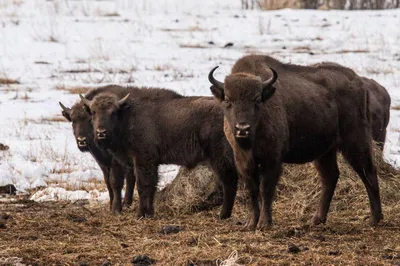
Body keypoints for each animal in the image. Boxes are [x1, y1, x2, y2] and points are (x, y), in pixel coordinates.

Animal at [79, 90, 239, 219]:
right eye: (93, 112)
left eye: (113, 112)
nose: (101, 133)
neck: (127, 117)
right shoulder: (151, 163)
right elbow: (151, 186)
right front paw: (149, 213)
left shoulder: (142, 160)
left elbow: (143, 186)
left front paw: (140, 214)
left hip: (220, 158)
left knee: (229, 183)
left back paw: (223, 215)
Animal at [208, 55, 382, 230]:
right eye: (228, 100)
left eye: (257, 100)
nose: (242, 128)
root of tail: (358, 82)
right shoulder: (243, 162)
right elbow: (253, 191)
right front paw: (250, 224)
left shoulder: (272, 160)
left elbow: (266, 190)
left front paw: (264, 224)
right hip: (325, 152)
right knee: (330, 177)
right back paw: (317, 219)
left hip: (355, 141)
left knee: (368, 172)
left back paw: (375, 219)